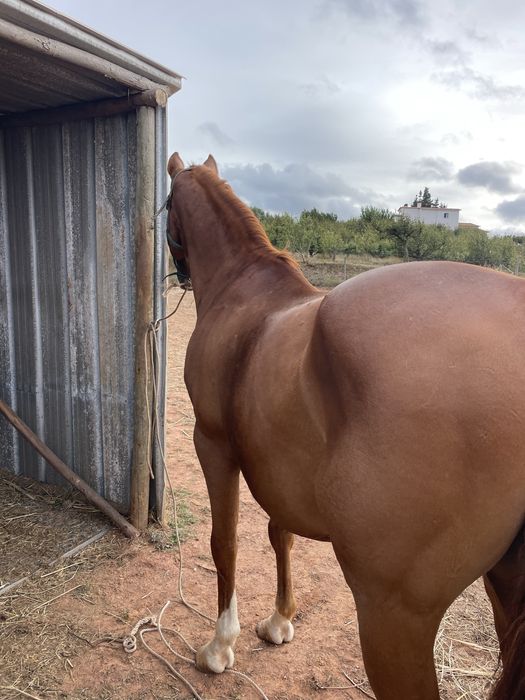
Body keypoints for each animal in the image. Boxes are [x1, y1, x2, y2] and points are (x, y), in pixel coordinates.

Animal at [165, 152, 525, 700]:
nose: (180, 274)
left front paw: (219, 647)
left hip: (394, 618)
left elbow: (224, 543)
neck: (242, 291)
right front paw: (280, 621)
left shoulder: (212, 444)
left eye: (166, 207)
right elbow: (281, 534)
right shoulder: (280, 467)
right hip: (505, 593)